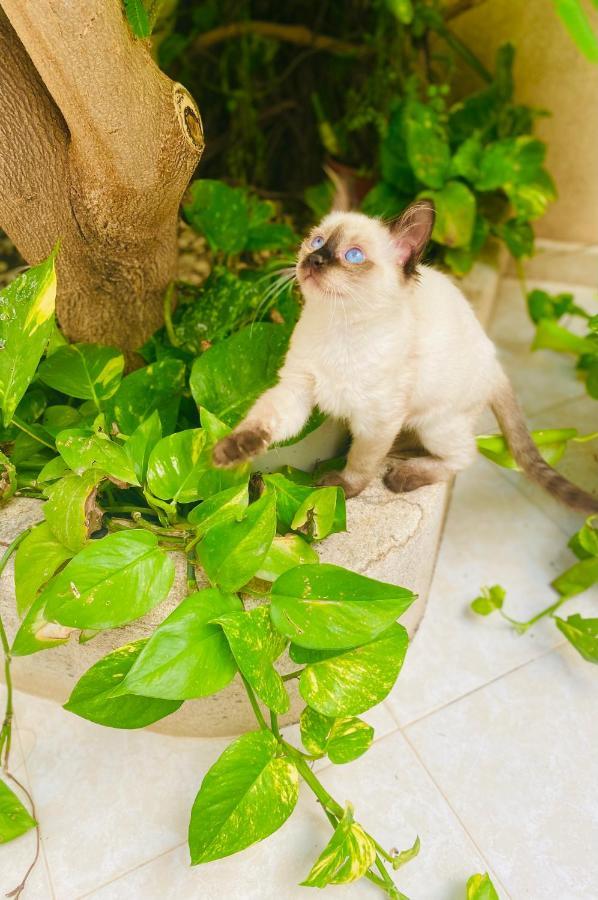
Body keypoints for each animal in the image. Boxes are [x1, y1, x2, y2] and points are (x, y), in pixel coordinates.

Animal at [213, 202, 598, 512]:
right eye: (317, 241)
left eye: (353, 256)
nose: (314, 259)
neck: (339, 329)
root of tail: (495, 364)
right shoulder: (296, 392)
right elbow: (263, 421)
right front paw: (230, 451)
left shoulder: (378, 420)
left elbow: (361, 462)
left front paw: (343, 488)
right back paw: (401, 451)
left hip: (436, 424)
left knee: (465, 455)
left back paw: (404, 474)